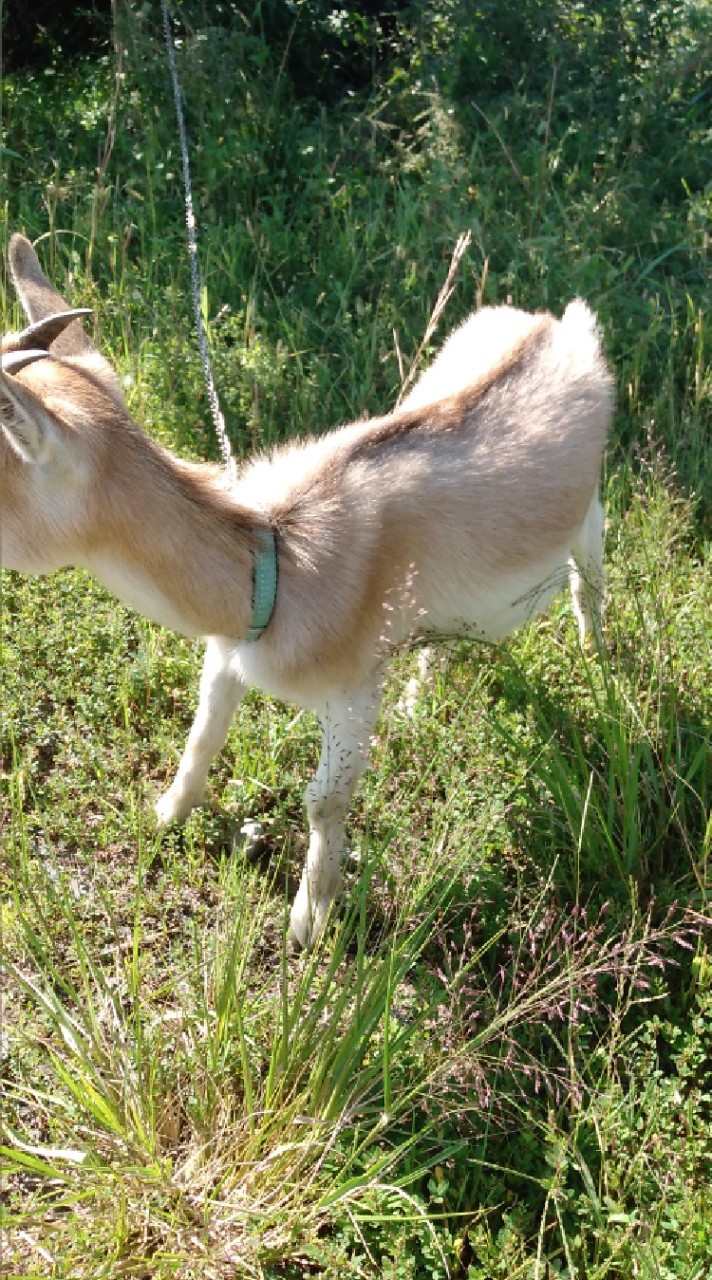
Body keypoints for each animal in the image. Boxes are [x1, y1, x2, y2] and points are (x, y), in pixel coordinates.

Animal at [0, 232, 612, 952]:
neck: (272, 564)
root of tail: (557, 323)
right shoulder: (227, 653)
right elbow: (203, 733)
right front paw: (167, 813)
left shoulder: (351, 688)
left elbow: (325, 800)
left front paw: (309, 923)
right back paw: (420, 699)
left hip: (590, 505)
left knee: (589, 572)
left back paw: (599, 665)